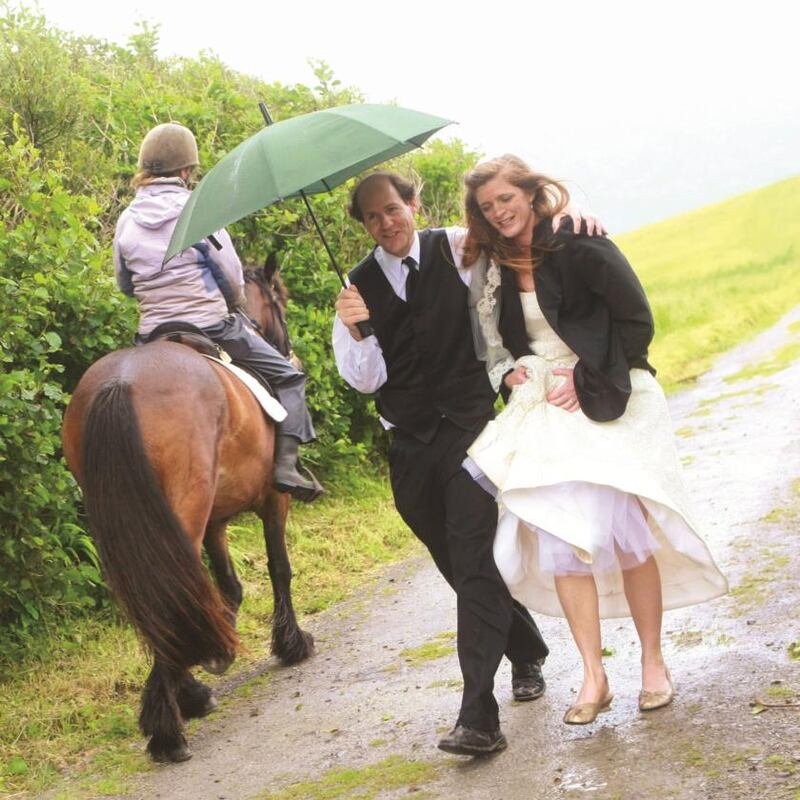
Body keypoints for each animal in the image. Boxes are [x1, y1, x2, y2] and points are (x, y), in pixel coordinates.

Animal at [61, 256, 312, 764]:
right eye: (280, 296)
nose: (291, 358)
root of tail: (121, 382)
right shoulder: (273, 500)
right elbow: (279, 568)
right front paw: (290, 644)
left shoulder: (216, 520)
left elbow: (229, 587)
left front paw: (213, 659)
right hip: (185, 512)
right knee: (169, 592)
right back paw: (167, 730)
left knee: (158, 597)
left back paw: (180, 699)